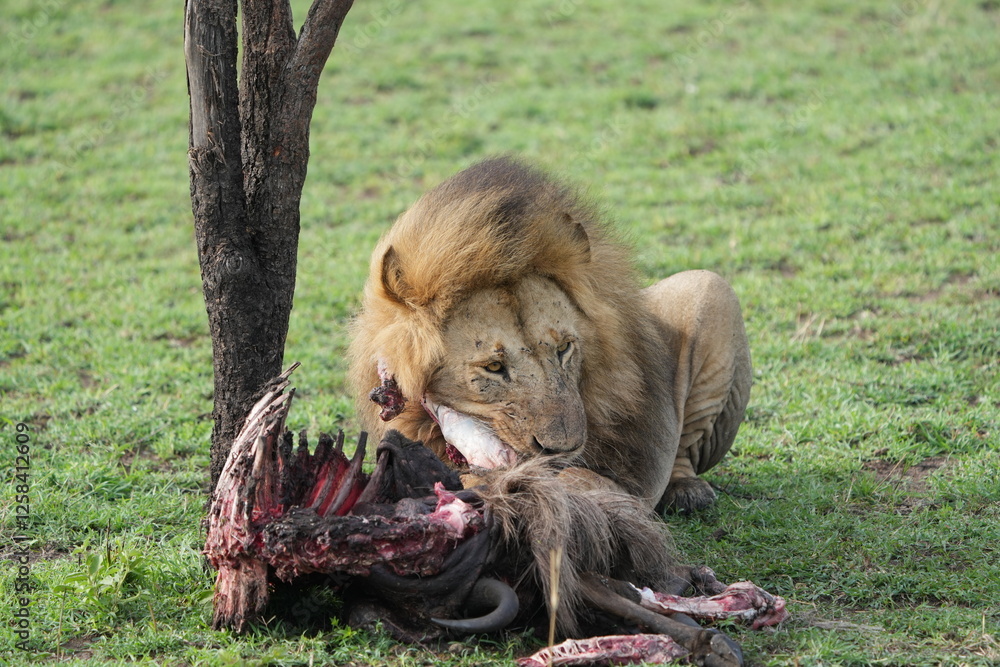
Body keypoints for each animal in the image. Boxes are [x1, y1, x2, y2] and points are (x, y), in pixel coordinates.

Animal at [348, 156, 751, 515]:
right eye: (493, 367)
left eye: (564, 348)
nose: (563, 448)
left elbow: (582, 482)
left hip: (711, 289)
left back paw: (687, 491)